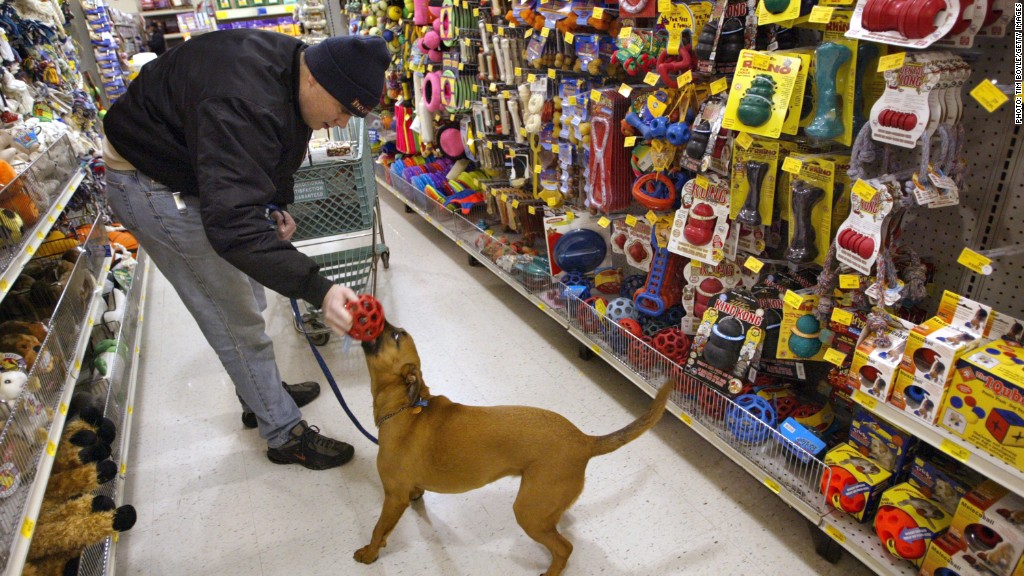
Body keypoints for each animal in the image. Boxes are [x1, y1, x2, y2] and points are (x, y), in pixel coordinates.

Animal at [356, 319, 675, 569]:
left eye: (396, 335)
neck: (404, 405)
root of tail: (584, 441)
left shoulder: (393, 498)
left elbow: (378, 530)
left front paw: (369, 553)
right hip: (542, 509)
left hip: (528, 512)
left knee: (564, 548)